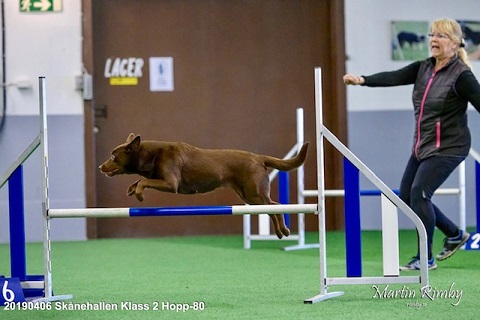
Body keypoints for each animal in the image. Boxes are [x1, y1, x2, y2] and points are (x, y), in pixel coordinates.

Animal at [99, 134, 310, 239]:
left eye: (113, 156)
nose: (100, 167)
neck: (152, 154)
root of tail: (258, 157)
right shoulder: (160, 179)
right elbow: (139, 180)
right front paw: (131, 189)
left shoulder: (171, 183)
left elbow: (144, 181)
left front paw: (139, 194)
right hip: (250, 197)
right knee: (273, 207)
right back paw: (280, 232)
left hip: (255, 195)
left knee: (276, 207)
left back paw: (284, 231)